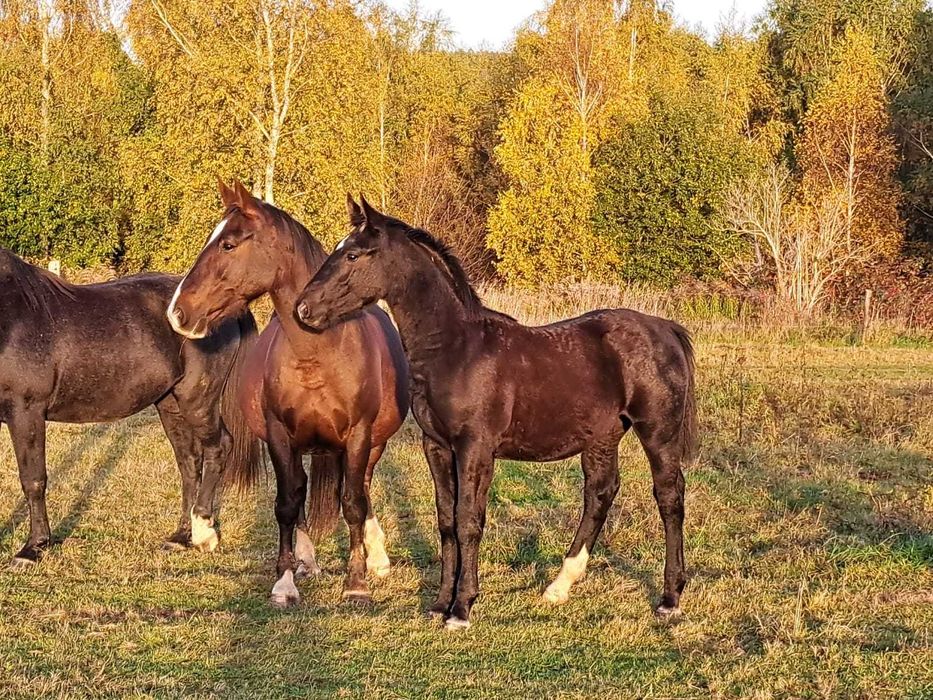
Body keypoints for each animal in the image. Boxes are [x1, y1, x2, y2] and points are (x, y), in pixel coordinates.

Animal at [0, 249, 258, 568]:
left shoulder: (26, 412)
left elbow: (33, 480)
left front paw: (33, 548)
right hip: (170, 406)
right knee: (188, 464)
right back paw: (180, 537)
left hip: (198, 401)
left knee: (217, 448)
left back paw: (203, 534)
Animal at [167, 180, 408, 608]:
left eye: (228, 244)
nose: (178, 313)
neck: (318, 354)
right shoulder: (280, 436)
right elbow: (287, 504)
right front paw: (285, 581)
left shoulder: (359, 436)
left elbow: (353, 503)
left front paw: (357, 581)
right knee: (302, 491)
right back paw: (306, 560)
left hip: (373, 444)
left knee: (361, 488)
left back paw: (376, 556)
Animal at [294, 196, 696, 628]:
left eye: (352, 254)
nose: (304, 309)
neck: (456, 348)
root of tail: (665, 328)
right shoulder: (436, 446)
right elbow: (447, 521)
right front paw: (439, 603)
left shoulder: (476, 448)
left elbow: (469, 520)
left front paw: (461, 608)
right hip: (602, 438)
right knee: (600, 495)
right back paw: (559, 586)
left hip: (657, 433)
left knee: (669, 497)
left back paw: (670, 597)